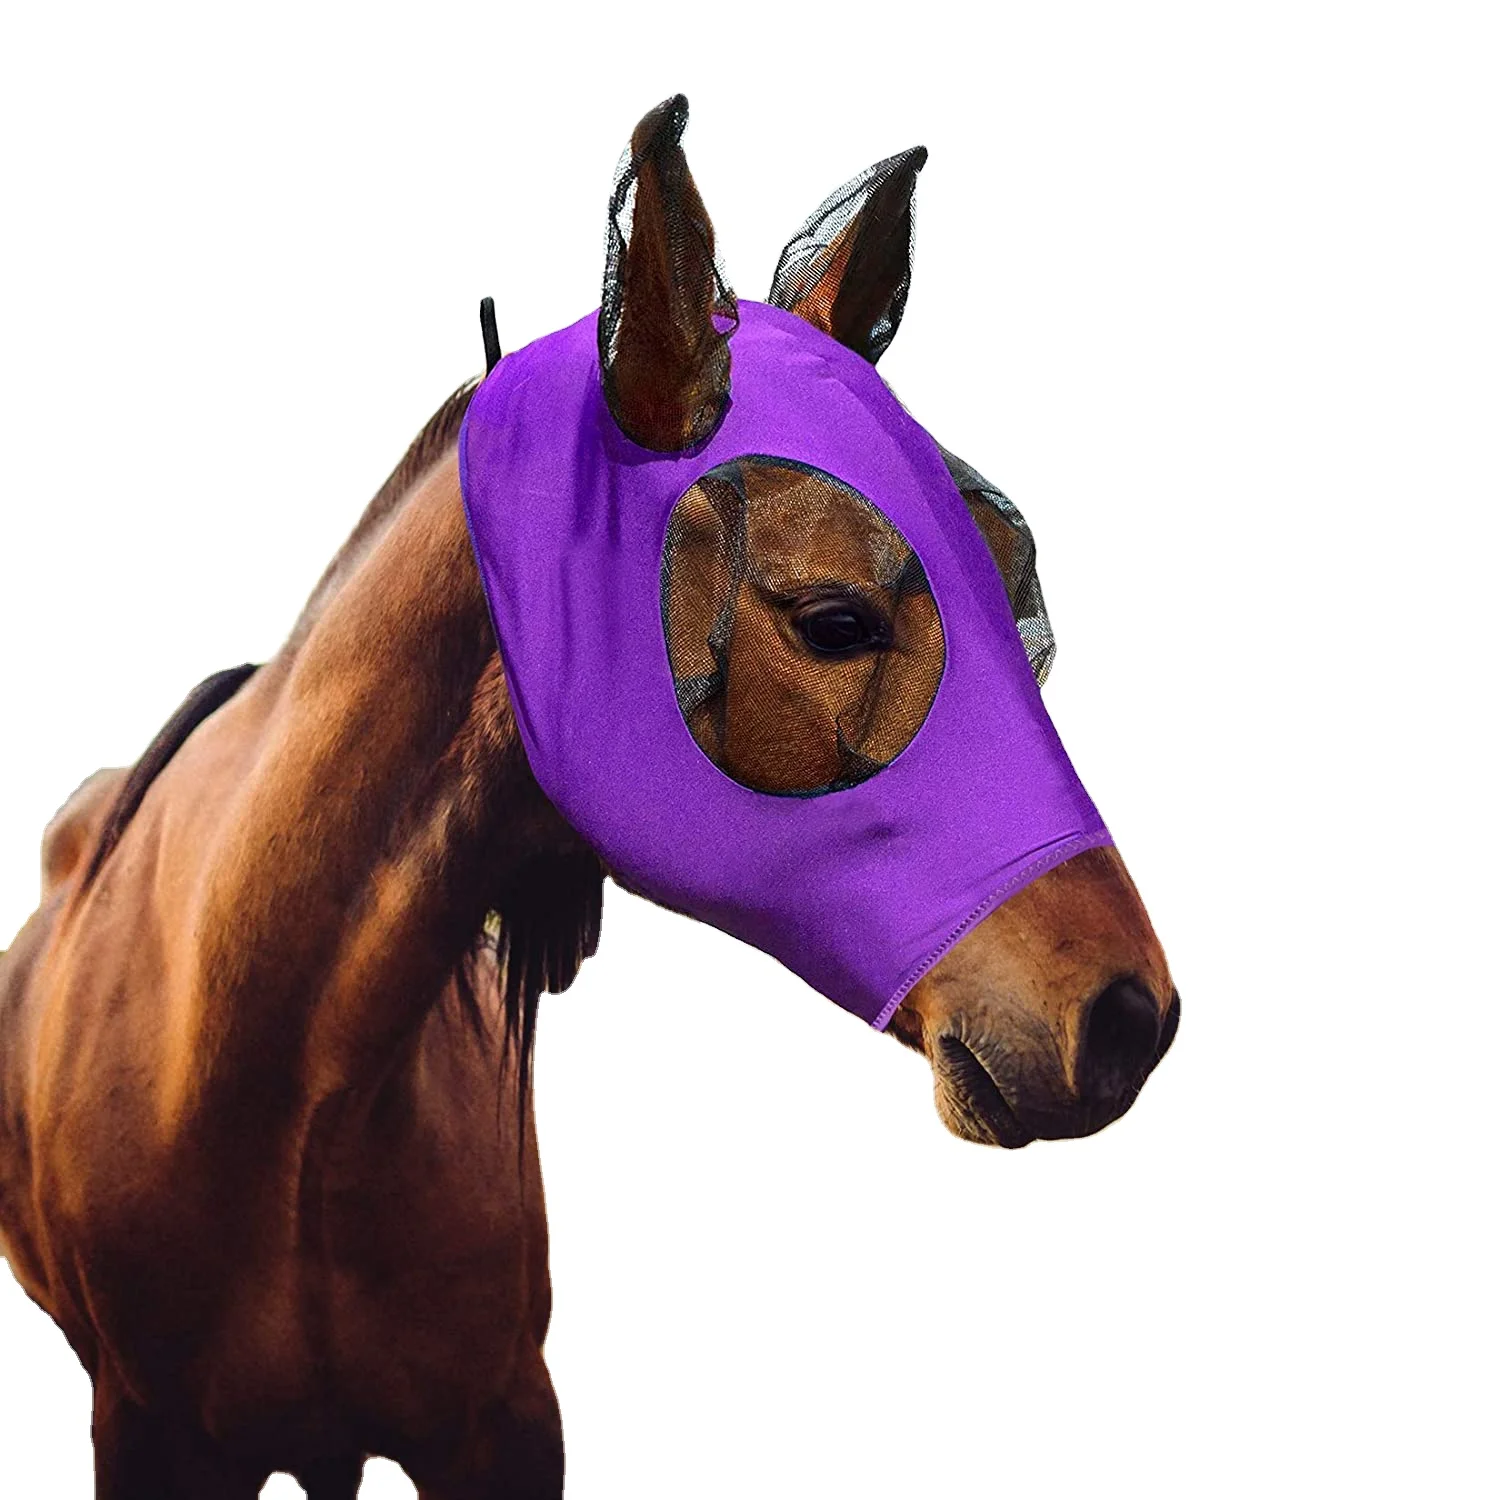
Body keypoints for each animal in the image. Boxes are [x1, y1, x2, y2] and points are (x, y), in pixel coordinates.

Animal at [0, 97, 1178, 1498]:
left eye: (1016, 577)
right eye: (835, 620)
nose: (1132, 1017)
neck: (279, 1085)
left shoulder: (504, 1426)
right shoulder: (151, 1436)